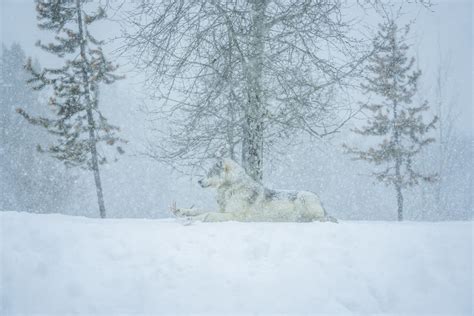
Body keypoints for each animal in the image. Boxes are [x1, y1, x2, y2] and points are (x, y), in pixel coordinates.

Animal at [172, 158, 336, 222]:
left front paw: (191, 219)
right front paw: (183, 211)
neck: (231, 187)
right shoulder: (223, 210)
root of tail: (321, 202)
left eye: (210, 172)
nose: (199, 181)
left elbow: (207, 214)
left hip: (303, 198)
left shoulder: (234, 216)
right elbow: (199, 210)